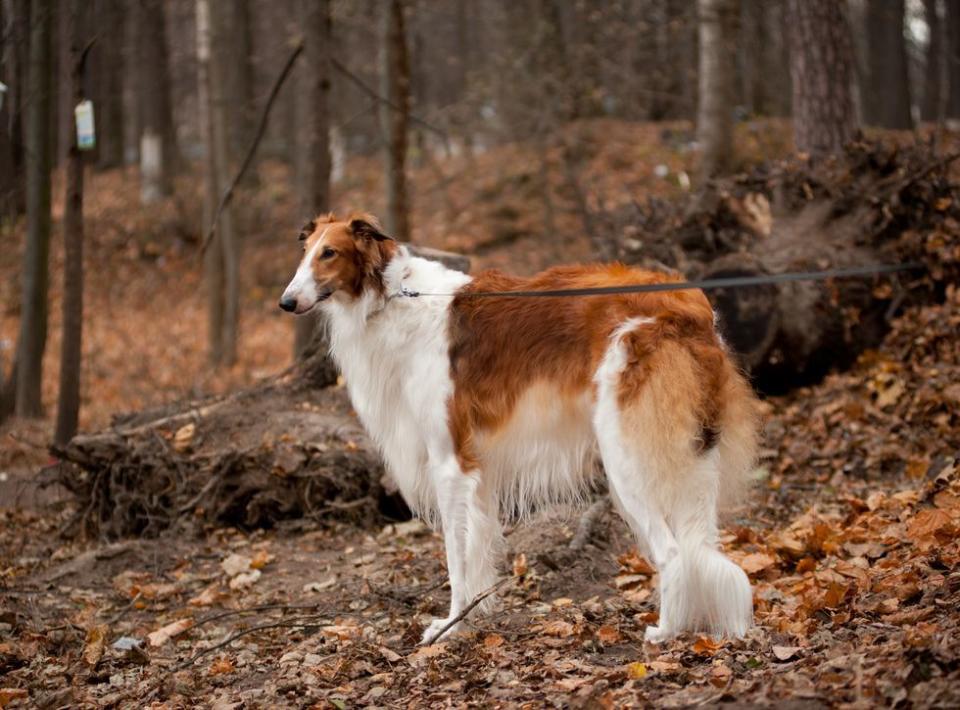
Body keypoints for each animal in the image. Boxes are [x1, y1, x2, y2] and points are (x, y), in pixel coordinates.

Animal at [278, 211, 756, 644]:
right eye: (305, 252)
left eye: (329, 253)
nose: (286, 302)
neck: (394, 298)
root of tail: (694, 308)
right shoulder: (478, 473)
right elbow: (478, 552)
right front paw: (472, 616)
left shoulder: (450, 462)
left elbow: (456, 559)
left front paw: (448, 627)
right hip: (688, 457)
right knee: (698, 548)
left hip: (626, 457)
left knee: (673, 552)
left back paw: (665, 632)